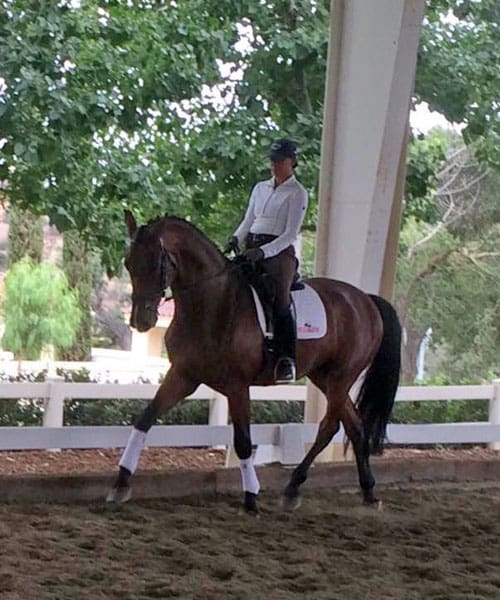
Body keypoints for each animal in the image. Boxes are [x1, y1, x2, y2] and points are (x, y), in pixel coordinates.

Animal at [107, 211, 402, 513]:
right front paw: (121, 483)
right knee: (354, 425)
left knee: (329, 427)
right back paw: (367, 491)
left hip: (341, 377)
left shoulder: (237, 385)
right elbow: (145, 420)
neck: (212, 304)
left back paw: (294, 487)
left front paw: (250, 498)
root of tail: (366, 299)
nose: (141, 321)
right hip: (324, 376)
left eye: (158, 263)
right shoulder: (183, 375)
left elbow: (243, 442)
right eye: (128, 263)